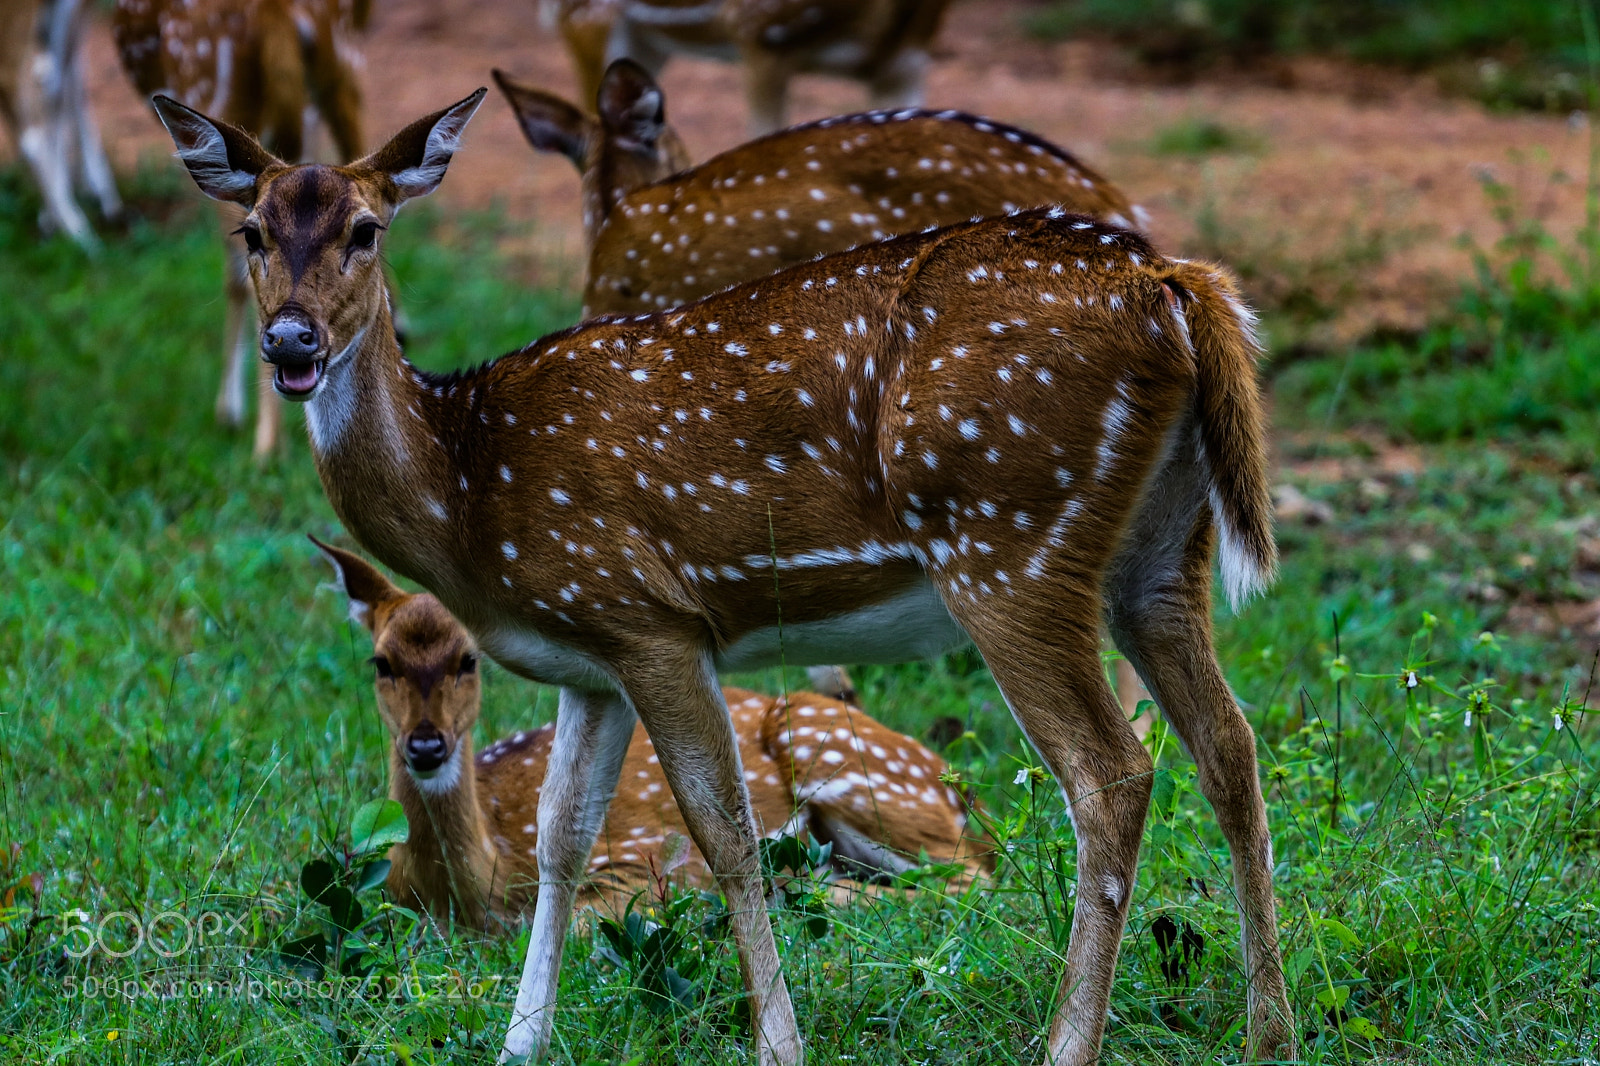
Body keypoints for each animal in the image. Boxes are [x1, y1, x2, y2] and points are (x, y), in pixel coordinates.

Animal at [313, 535, 990, 928]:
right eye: (381, 662)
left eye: (468, 660)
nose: (426, 745)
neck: (480, 889)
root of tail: (960, 789)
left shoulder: (640, 861)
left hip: (847, 764)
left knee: (972, 878)